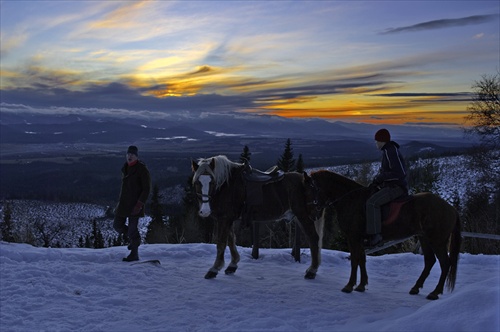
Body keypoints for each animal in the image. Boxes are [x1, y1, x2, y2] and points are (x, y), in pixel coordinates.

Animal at [191, 156, 324, 280]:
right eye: (197, 182)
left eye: (212, 182)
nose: (204, 211)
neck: (227, 186)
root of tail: (307, 180)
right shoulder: (227, 219)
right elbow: (231, 240)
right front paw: (232, 265)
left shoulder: (224, 219)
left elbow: (221, 243)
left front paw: (214, 269)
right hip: (298, 217)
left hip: (303, 215)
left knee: (313, 238)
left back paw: (312, 271)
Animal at [302, 170, 462, 300]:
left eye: (311, 189)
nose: (311, 215)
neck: (350, 199)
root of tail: (451, 208)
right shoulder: (360, 239)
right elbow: (362, 260)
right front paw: (361, 285)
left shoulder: (353, 237)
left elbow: (355, 260)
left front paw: (349, 286)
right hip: (424, 238)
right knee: (429, 261)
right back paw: (416, 288)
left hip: (437, 240)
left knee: (445, 263)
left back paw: (435, 292)